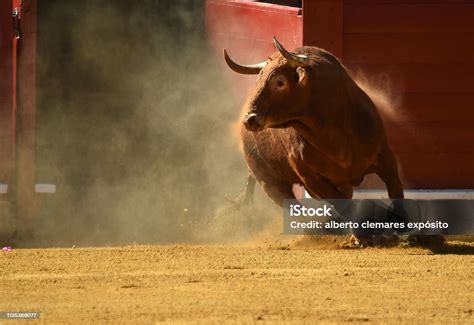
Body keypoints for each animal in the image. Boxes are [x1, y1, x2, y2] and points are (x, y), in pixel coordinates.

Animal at [224, 38, 402, 210]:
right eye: (258, 80)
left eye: (279, 82)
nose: (249, 119)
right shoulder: (310, 179)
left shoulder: (386, 158)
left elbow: (396, 194)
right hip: (270, 183)